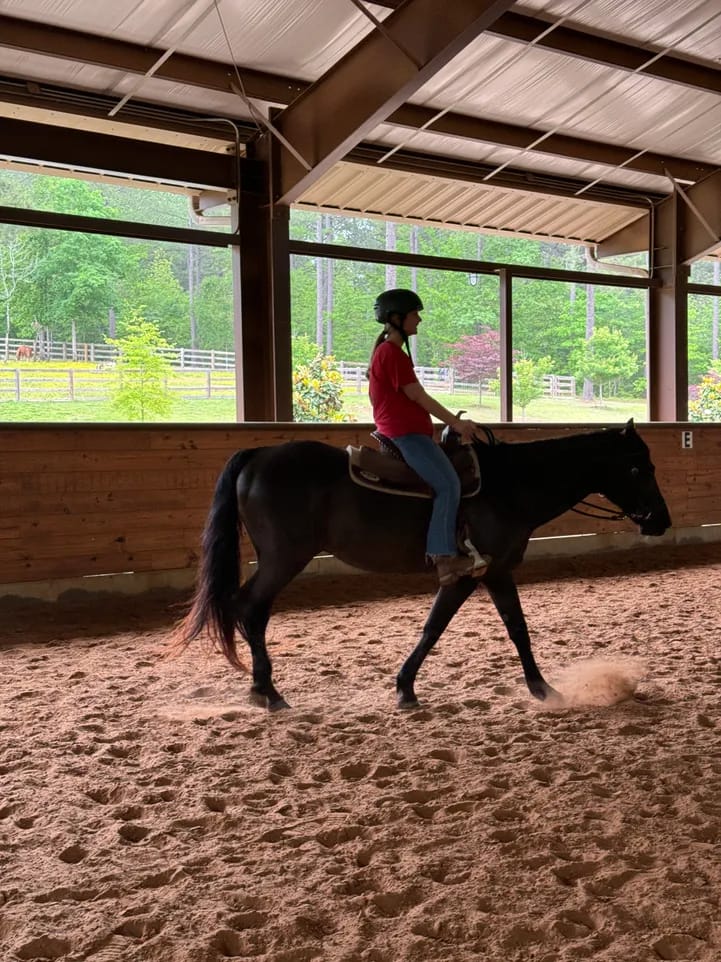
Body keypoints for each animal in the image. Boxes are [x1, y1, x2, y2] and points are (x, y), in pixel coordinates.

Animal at [177, 420, 671, 711]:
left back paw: (261, 688)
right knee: (250, 608)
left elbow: (488, 627)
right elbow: (460, 628)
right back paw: (268, 691)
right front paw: (543, 690)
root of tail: (257, 454)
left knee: (246, 609)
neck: (511, 486)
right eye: (638, 468)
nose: (661, 521)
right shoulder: (479, 573)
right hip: (284, 558)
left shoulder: (489, 574)